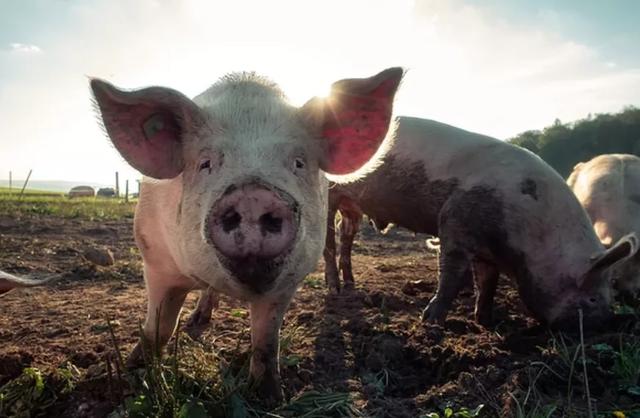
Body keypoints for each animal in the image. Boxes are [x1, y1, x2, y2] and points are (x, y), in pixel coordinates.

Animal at [91, 67, 400, 400]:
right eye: (205, 163)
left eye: (298, 162)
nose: (253, 195)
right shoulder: (155, 260)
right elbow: (159, 327)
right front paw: (132, 373)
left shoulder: (288, 282)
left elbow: (266, 341)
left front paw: (269, 397)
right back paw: (197, 320)